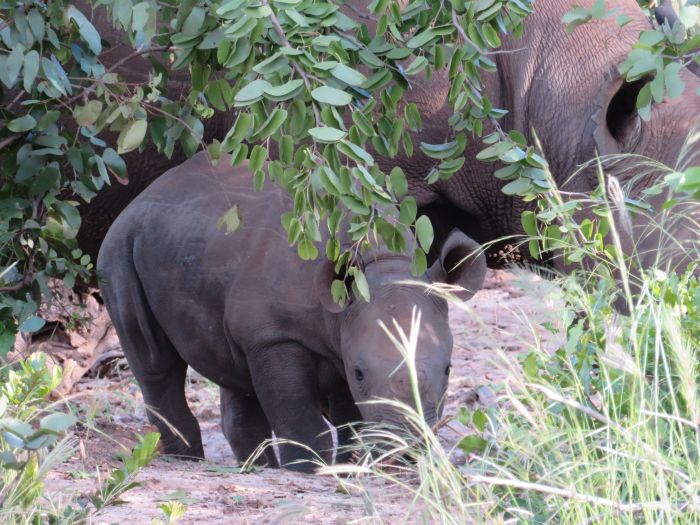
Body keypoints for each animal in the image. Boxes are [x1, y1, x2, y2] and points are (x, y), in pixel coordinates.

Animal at [97, 150, 486, 470]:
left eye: (449, 369)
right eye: (360, 373)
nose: (403, 451)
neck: (381, 263)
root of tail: (144, 195)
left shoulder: (343, 329)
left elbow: (348, 417)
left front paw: (350, 464)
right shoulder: (273, 336)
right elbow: (297, 412)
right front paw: (310, 469)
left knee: (232, 368)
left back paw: (255, 468)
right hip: (119, 244)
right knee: (154, 362)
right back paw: (187, 461)